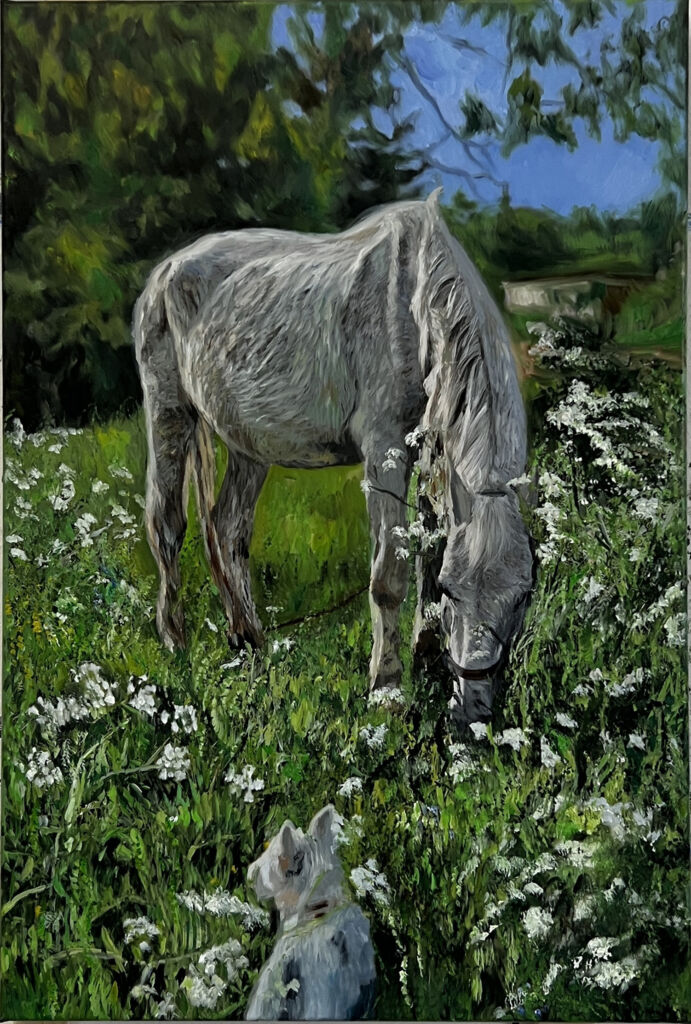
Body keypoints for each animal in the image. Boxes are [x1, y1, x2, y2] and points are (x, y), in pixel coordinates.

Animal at [133, 189, 533, 725]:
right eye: (455, 591)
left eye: (522, 597)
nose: (472, 712)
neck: (414, 304)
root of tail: (166, 270)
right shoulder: (386, 454)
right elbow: (390, 576)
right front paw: (387, 689)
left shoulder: (431, 454)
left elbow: (430, 550)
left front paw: (426, 657)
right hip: (169, 414)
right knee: (167, 526)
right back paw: (175, 642)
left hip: (247, 445)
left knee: (228, 528)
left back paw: (250, 641)